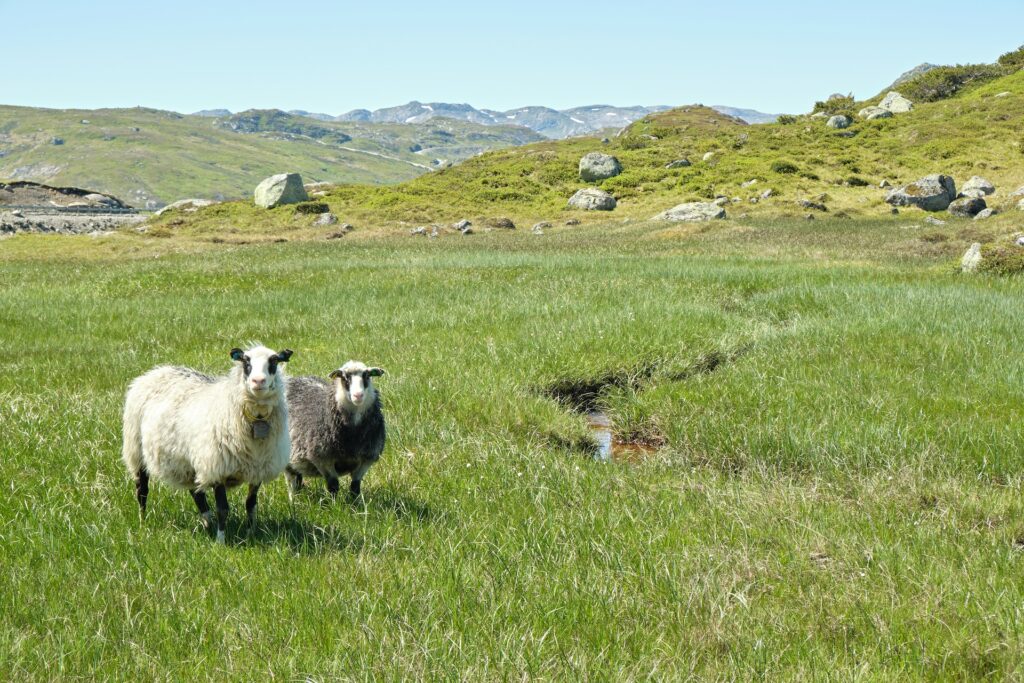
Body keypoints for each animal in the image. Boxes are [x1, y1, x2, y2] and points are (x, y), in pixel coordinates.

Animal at [122, 348, 296, 544]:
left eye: (274, 361)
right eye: (246, 362)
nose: (258, 381)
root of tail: (156, 371)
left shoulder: (258, 470)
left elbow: (251, 505)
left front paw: (251, 533)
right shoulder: (217, 467)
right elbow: (223, 509)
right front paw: (221, 541)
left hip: (187, 462)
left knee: (196, 492)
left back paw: (207, 522)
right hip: (136, 449)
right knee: (142, 490)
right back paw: (143, 521)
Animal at [284, 360, 385, 499]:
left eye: (367, 376)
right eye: (345, 377)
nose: (358, 395)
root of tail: (291, 379)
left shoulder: (367, 459)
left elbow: (355, 486)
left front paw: (355, 503)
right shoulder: (322, 458)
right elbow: (333, 486)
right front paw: (334, 503)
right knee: (292, 481)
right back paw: (293, 500)